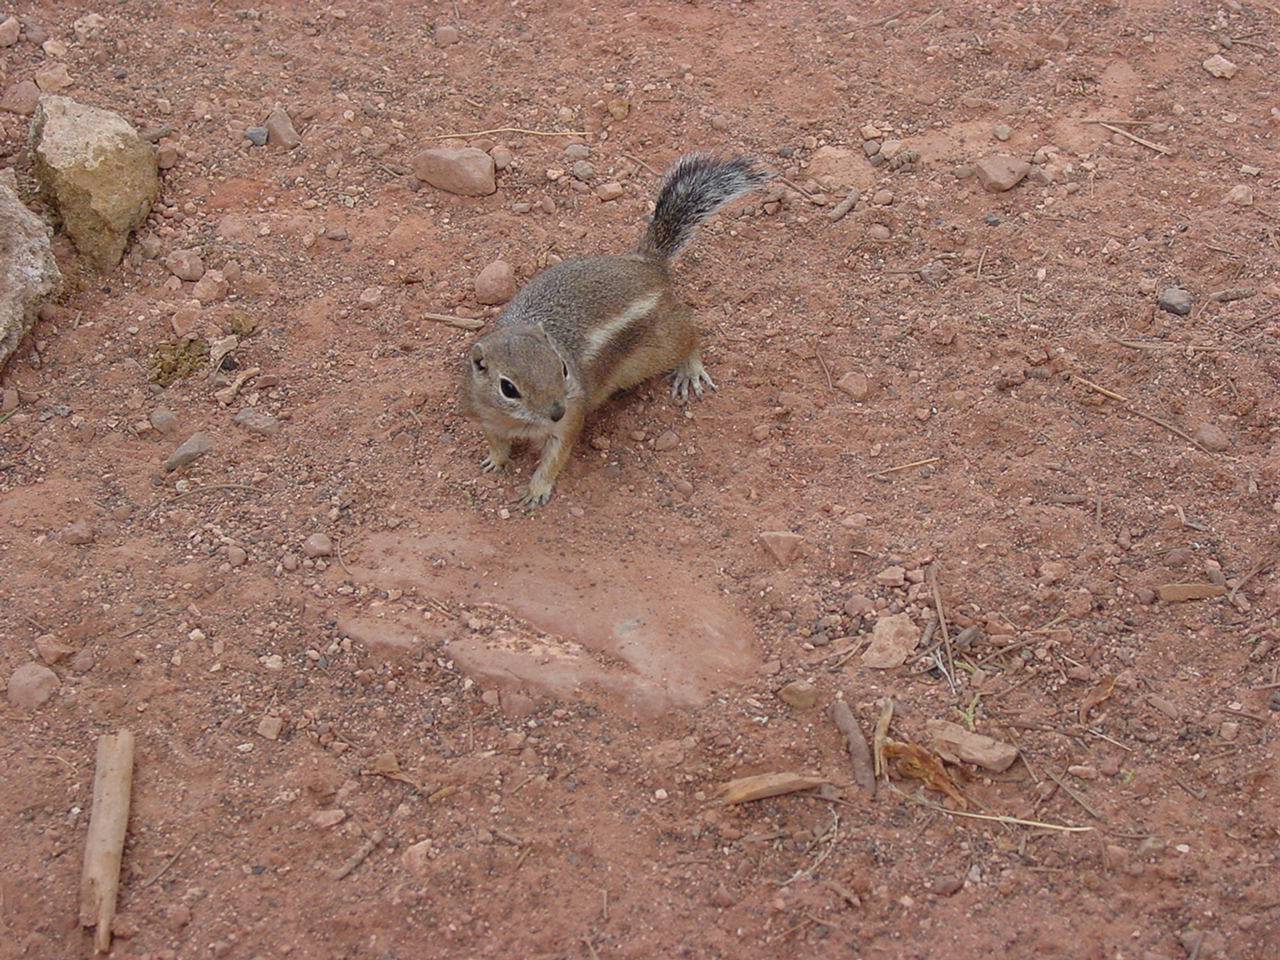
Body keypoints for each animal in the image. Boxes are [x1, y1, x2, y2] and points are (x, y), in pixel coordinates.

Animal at [463, 154, 768, 506]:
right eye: (508, 388)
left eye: (563, 369)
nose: (557, 411)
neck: (520, 423)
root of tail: (647, 264)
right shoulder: (486, 417)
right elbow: (496, 443)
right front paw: (495, 461)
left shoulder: (570, 422)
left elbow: (555, 458)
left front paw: (537, 490)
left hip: (660, 346)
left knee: (690, 333)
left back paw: (689, 370)